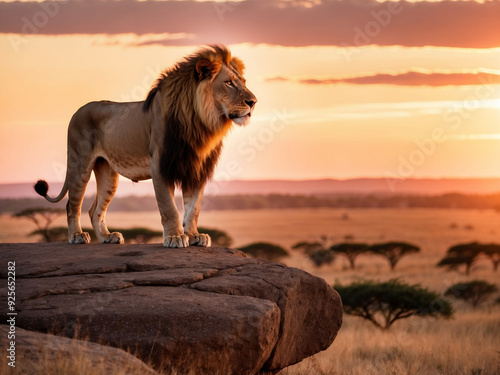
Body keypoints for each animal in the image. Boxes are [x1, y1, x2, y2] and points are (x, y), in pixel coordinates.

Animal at [34, 45, 258, 248]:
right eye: (228, 83)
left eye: (244, 82)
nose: (253, 101)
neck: (200, 123)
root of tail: (77, 111)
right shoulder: (159, 165)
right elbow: (169, 207)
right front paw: (175, 237)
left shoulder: (195, 168)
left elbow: (193, 208)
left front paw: (194, 236)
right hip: (79, 164)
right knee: (72, 205)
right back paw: (77, 236)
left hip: (108, 173)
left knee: (94, 209)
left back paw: (107, 237)